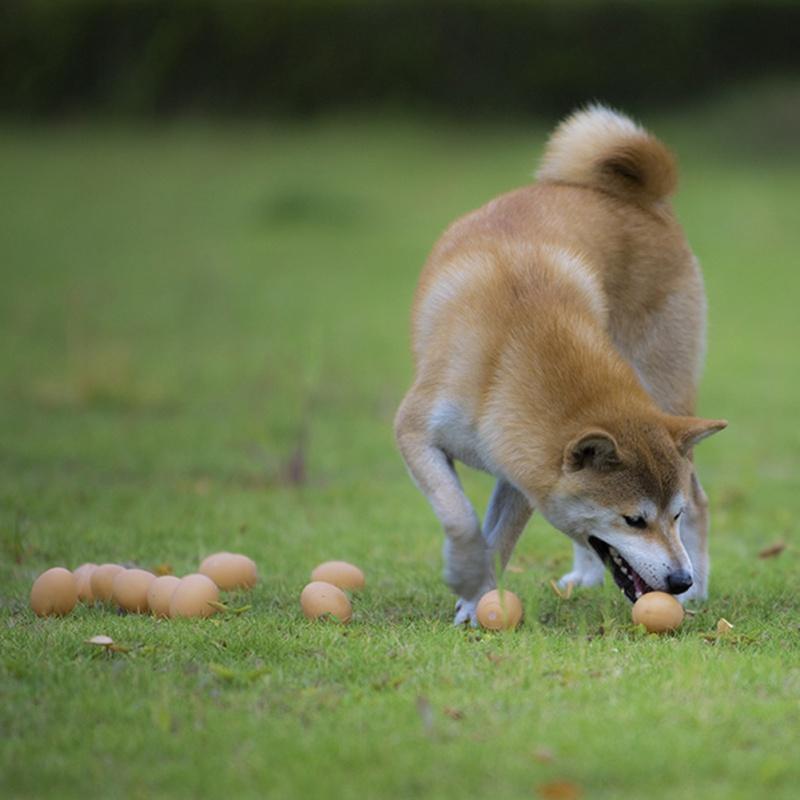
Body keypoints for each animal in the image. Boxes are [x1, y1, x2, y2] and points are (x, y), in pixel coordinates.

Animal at [396, 103, 728, 624]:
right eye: (633, 520)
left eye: (670, 517)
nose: (680, 580)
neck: (514, 340)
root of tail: (638, 196)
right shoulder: (422, 432)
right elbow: (461, 517)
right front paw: (470, 578)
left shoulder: (520, 471)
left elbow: (500, 538)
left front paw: (476, 598)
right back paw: (595, 578)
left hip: (666, 386)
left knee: (700, 498)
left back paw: (694, 598)